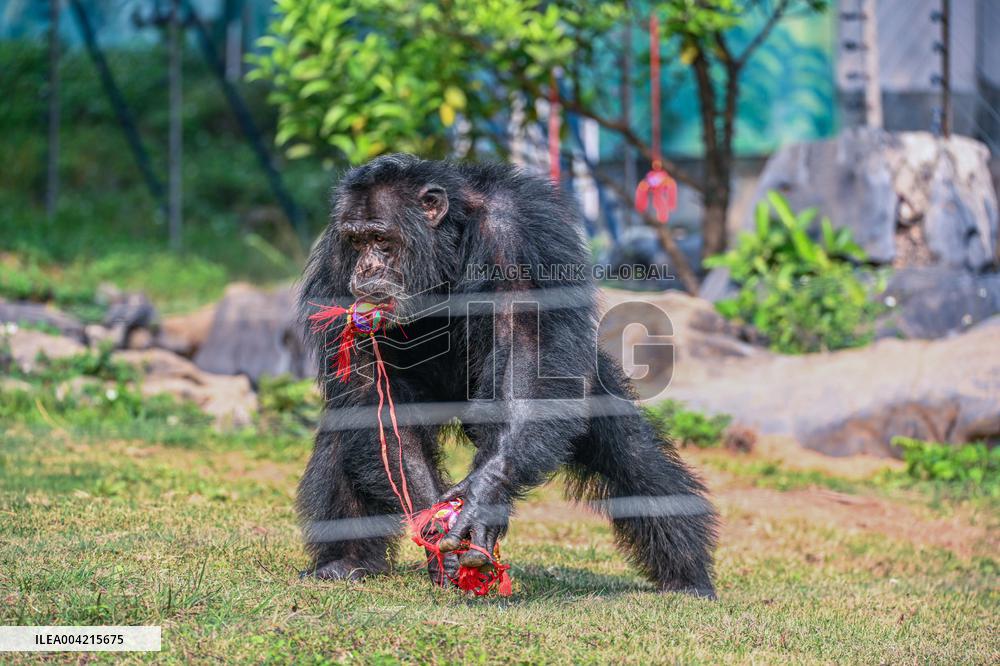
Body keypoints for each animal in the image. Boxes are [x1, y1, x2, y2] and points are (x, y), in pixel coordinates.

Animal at [297, 154, 718, 597]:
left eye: (381, 239)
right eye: (356, 241)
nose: (366, 267)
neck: (446, 243)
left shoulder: (517, 236)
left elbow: (526, 350)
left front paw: (483, 497)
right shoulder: (336, 263)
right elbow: (374, 396)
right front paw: (436, 525)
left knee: (632, 457)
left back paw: (687, 576)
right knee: (347, 429)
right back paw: (343, 562)